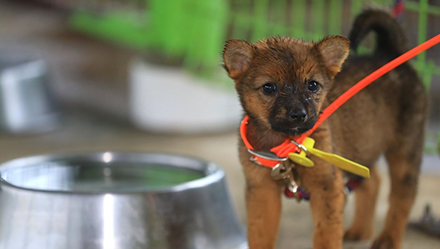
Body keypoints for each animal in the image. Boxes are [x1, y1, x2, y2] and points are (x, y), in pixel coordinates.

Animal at [223, 8, 426, 248]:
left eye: (312, 85)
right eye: (269, 87)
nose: (299, 115)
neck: (288, 146)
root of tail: (389, 53)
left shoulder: (326, 186)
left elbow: (326, 234)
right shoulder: (262, 190)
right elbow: (260, 234)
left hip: (405, 150)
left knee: (403, 196)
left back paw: (388, 238)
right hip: (361, 146)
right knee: (373, 181)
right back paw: (361, 230)